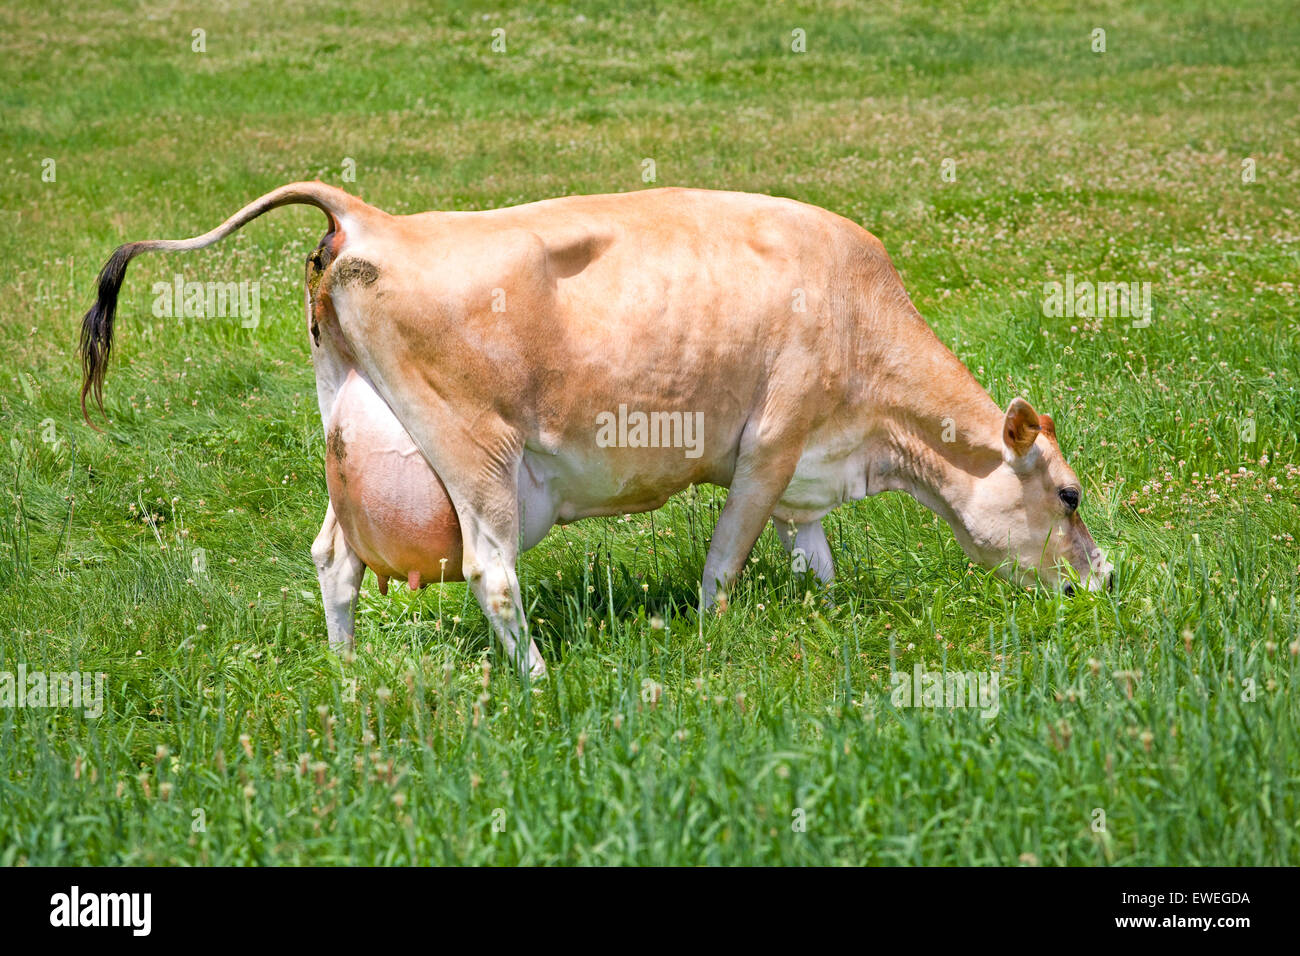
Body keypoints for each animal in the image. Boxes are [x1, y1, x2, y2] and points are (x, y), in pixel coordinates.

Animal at [78, 183, 1118, 676]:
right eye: (1068, 494)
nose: (1105, 581)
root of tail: (372, 217)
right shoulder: (770, 445)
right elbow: (726, 562)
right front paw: (712, 637)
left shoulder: (806, 470)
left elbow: (812, 550)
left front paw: (824, 608)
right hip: (478, 457)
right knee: (493, 574)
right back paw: (541, 681)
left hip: (355, 443)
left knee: (334, 560)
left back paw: (346, 670)